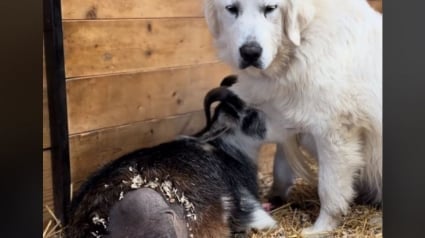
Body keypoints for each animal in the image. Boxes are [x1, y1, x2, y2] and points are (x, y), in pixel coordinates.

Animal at [202, 0, 380, 234]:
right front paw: (274, 197)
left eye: (270, 8)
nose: (250, 52)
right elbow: (280, 167)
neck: (302, 44)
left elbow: (329, 189)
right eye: (232, 9)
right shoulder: (287, 126)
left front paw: (319, 229)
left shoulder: (335, 133)